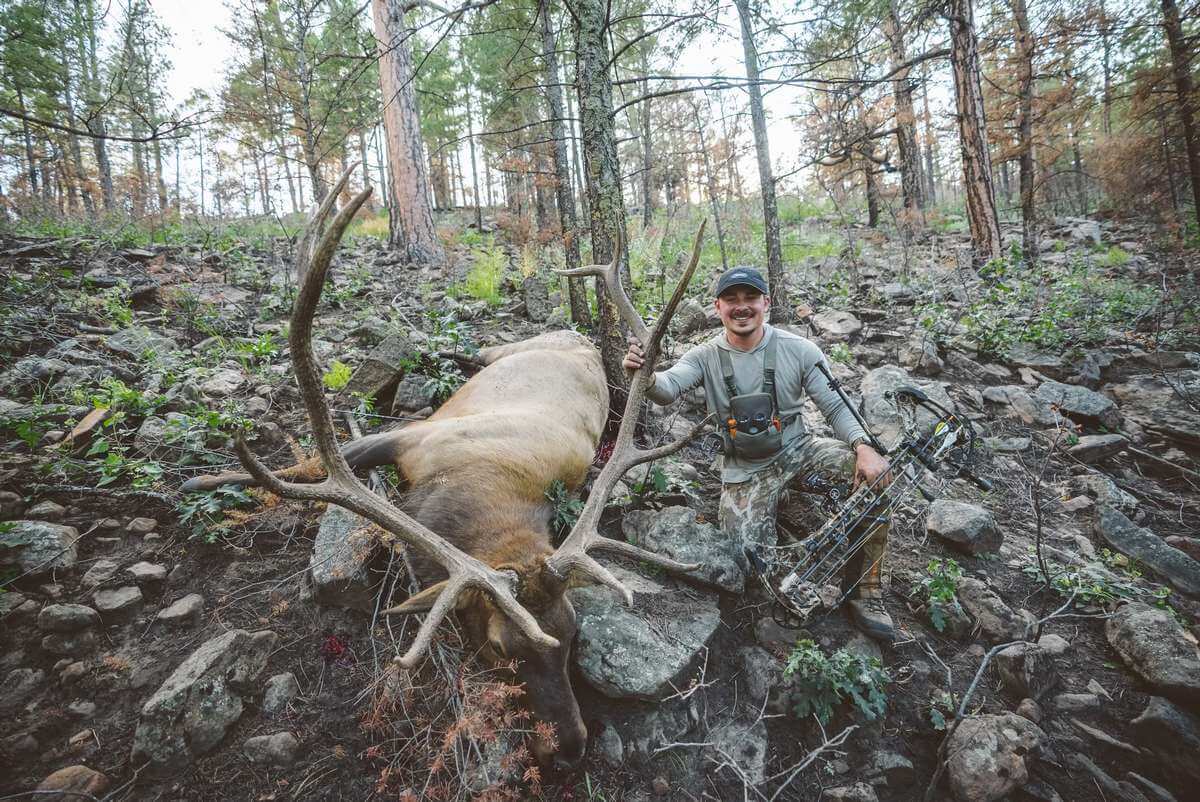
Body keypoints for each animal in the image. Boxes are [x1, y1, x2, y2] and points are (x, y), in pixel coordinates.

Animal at [180, 165, 710, 770]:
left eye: (574, 631)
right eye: (502, 646)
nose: (571, 748)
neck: (469, 489)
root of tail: (578, 334)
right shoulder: (413, 436)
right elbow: (316, 461)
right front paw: (204, 479)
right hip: (507, 351)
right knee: (475, 351)